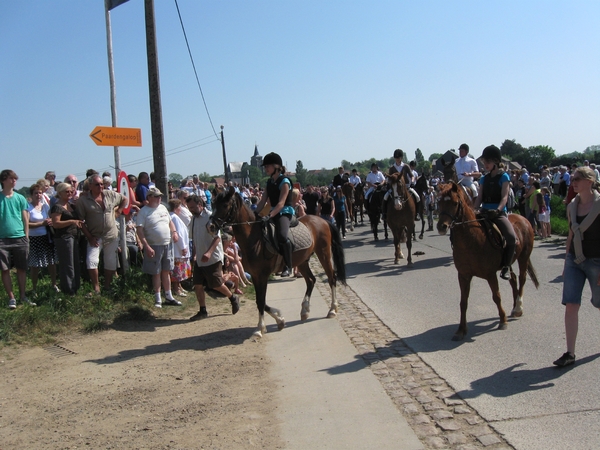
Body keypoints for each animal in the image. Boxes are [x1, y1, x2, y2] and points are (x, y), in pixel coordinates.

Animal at [210, 186, 346, 338]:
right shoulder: (256, 276)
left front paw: (260, 329)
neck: (255, 238)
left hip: (323, 254)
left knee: (331, 278)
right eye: (213, 204)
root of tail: (322, 220)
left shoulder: (262, 275)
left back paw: (332, 309)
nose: (210, 226)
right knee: (311, 280)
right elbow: (260, 301)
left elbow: (261, 301)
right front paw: (280, 320)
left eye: (225, 205)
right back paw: (305, 311)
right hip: (302, 261)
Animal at [436, 181, 540, 340]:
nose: (441, 226)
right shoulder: (463, 275)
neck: (472, 239)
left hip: (524, 257)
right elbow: (463, 302)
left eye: (454, 203)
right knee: (513, 278)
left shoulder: (490, 274)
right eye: (439, 202)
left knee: (522, 278)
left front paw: (503, 321)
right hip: (509, 263)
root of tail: (524, 219)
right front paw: (461, 329)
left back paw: (518, 307)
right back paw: (514, 306)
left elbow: (496, 297)